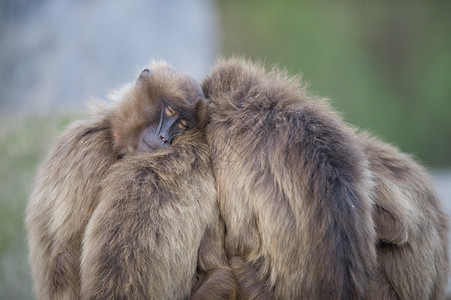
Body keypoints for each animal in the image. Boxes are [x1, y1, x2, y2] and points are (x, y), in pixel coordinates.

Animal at [26, 61, 235, 300]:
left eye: (183, 124)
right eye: (170, 110)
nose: (164, 137)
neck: (117, 143)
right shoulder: (91, 155)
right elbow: (66, 250)